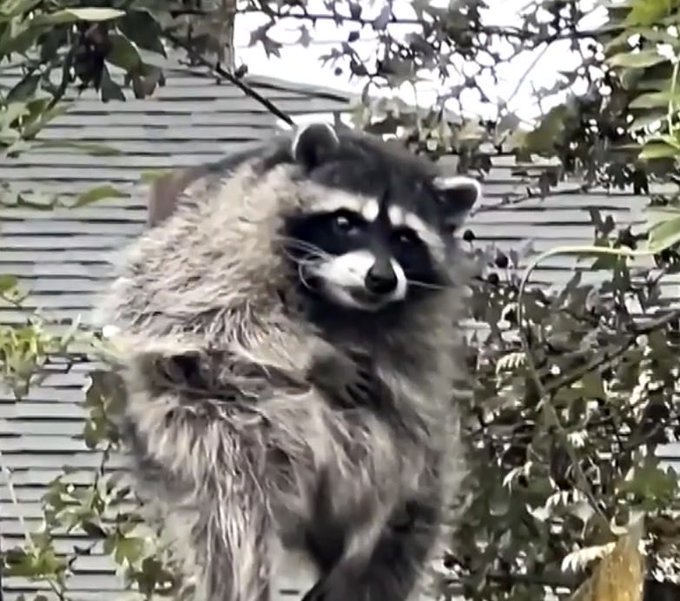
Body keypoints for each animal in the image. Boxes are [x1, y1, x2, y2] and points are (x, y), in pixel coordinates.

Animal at [96, 122, 480, 601]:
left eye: (405, 238)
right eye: (345, 222)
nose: (381, 278)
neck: (336, 301)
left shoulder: (416, 334)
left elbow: (409, 391)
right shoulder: (213, 235)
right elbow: (190, 308)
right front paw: (313, 353)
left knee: (406, 480)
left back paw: (365, 547)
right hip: (211, 430)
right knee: (235, 497)